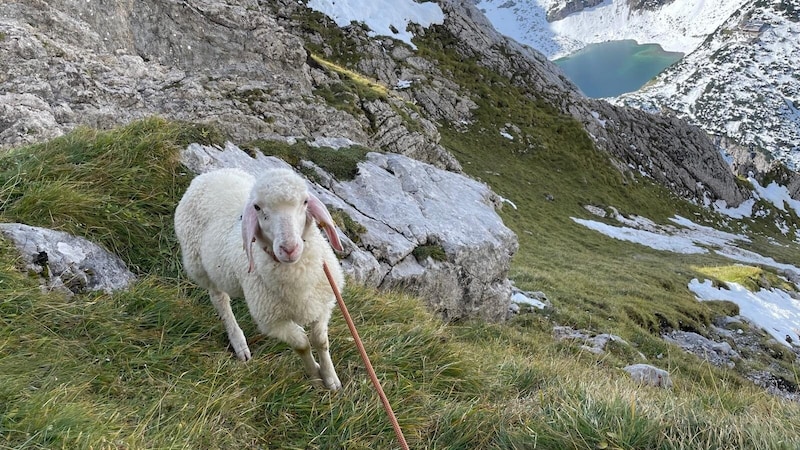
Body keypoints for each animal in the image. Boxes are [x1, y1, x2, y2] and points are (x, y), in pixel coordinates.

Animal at [175, 167, 344, 388]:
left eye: (305, 201)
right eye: (257, 207)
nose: (289, 248)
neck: (298, 277)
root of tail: (207, 176)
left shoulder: (323, 303)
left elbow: (320, 341)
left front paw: (331, 380)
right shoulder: (272, 321)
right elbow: (302, 345)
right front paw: (315, 377)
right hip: (201, 268)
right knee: (220, 300)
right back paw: (239, 343)